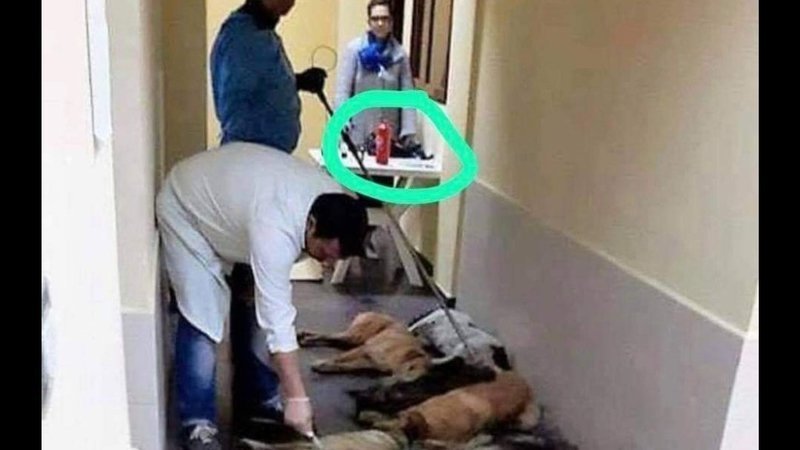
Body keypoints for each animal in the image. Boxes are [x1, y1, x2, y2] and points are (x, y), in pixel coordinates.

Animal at [298, 312, 432, 381]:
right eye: (411, 367)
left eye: (419, 378)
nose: (400, 382)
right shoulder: (366, 349)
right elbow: (338, 358)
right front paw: (322, 363)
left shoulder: (367, 361)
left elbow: (342, 366)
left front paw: (325, 367)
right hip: (355, 336)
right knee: (330, 336)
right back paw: (306, 338)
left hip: (352, 339)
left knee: (330, 337)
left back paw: (305, 335)